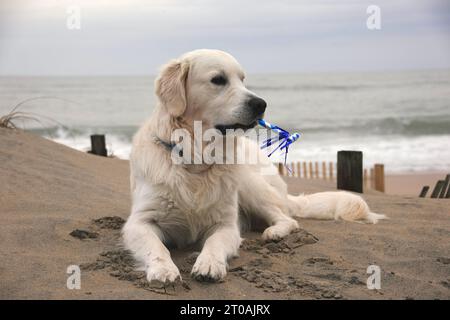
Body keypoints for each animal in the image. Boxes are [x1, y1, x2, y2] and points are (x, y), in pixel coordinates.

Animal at [123, 48, 386, 284]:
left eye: (242, 79)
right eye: (218, 80)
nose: (261, 104)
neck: (196, 161)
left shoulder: (227, 224)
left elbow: (215, 242)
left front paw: (209, 264)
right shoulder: (139, 222)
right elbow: (156, 247)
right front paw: (163, 269)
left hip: (250, 185)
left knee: (287, 219)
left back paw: (274, 232)